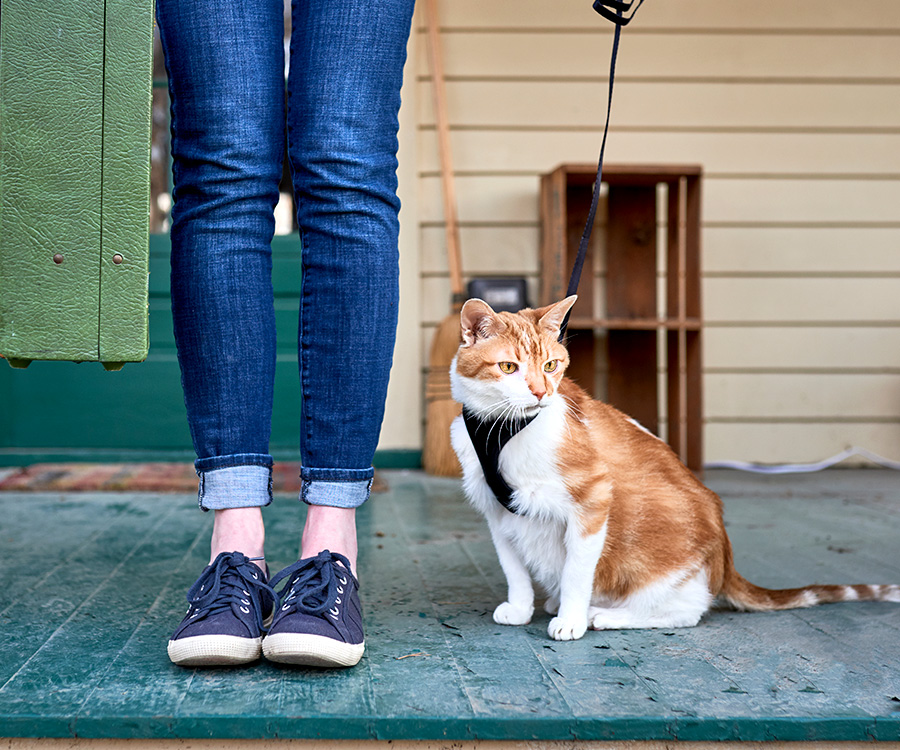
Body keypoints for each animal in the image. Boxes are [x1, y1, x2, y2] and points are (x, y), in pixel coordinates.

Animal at [450, 296, 900, 644]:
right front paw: (520, 607)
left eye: (550, 366)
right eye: (509, 368)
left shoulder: (593, 499)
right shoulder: (496, 510)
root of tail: (724, 557)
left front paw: (572, 621)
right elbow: (513, 569)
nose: (541, 393)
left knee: (687, 610)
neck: (500, 428)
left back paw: (604, 615)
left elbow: (578, 570)